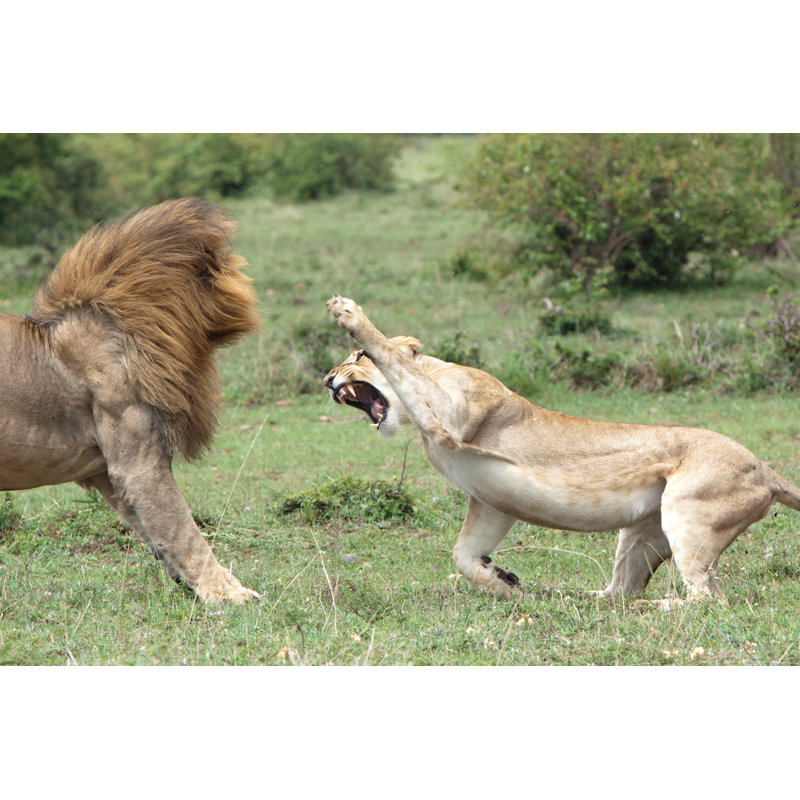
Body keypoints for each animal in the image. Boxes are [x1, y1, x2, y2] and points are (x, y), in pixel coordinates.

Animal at [0, 198, 261, 603]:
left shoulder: (106, 471)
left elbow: (157, 529)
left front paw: (188, 582)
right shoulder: (137, 463)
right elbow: (183, 530)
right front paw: (229, 593)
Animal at [325, 294, 800, 606]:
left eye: (356, 357)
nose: (328, 378)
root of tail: (766, 469)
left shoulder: (454, 412)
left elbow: (393, 356)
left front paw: (348, 312)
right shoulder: (490, 500)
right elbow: (462, 555)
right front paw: (501, 582)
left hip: (687, 514)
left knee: (709, 599)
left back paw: (656, 606)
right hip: (642, 532)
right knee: (620, 591)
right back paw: (568, 595)